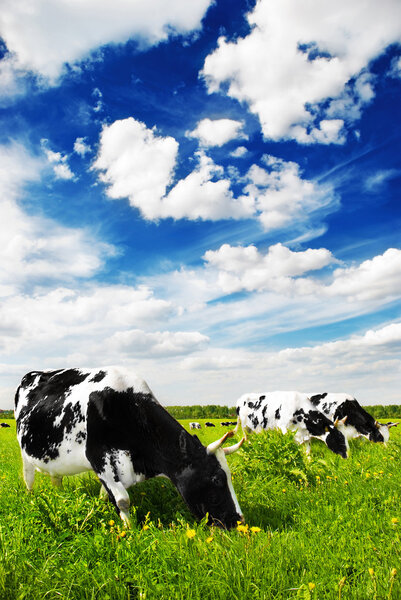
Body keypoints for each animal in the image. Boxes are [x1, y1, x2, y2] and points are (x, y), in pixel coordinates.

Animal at [14, 368, 244, 528]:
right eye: (217, 479)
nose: (238, 521)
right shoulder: (99, 457)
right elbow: (123, 500)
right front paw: (130, 530)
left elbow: (107, 495)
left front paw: (104, 507)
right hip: (24, 453)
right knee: (28, 478)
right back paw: (32, 498)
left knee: (56, 478)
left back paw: (61, 496)